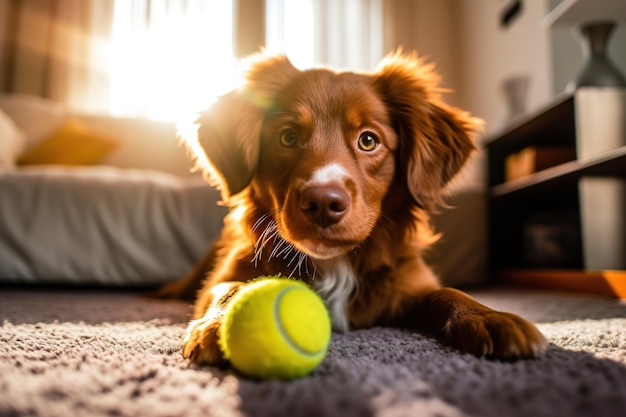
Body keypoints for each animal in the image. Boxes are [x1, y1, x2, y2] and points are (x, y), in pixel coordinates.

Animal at [157, 51, 544, 364]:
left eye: (368, 140)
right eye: (287, 137)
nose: (323, 203)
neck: (336, 265)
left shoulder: (411, 282)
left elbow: (447, 293)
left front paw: (490, 318)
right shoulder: (227, 273)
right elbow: (230, 288)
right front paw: (218, 324)